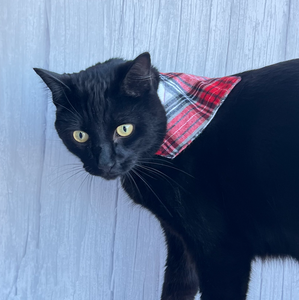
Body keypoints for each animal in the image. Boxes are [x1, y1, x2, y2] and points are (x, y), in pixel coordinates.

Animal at [34, 52, 299, 298]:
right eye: (80, 135)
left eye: (124, 129)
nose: (105, 163)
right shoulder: (181, 242)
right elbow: (176, 286)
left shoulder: (222, 251)